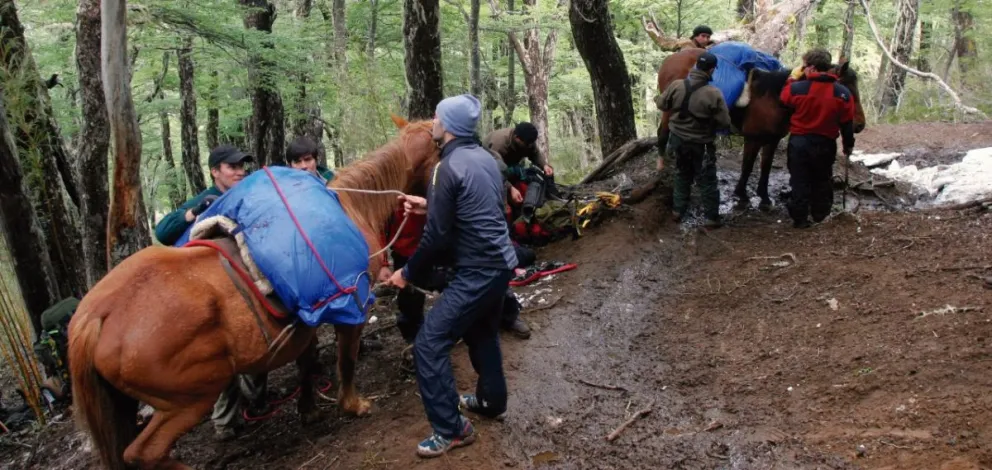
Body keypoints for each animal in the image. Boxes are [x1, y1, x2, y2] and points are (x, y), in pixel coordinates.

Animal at [68, 118, 439, 470]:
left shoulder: (307, 314)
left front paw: (308, 410)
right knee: (143, 453)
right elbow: (345, 359)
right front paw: (353, 405)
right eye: (438, 148)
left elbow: (306, 360)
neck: (353, 207)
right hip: (190, 399)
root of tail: (95, 315)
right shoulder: (354, 303)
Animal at [656, 48, 867, 210]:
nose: (859, 125)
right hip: (668, 109)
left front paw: (764, 197)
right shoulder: (753, 139)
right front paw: (741, 195)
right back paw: (662, 167)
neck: (775, 98)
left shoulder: (771, 140)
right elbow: (748, 166)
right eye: (846, 89)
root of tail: (670, 59)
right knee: (663, 134)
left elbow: (765, 166)